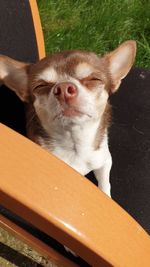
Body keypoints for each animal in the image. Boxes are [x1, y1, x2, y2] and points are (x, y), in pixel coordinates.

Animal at [0, 40, 136, 198]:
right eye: (40, 86)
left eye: (94, 79)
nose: (64, 88)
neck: (75, 145)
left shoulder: (105, 159)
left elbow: (104, 182)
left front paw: (106, 195)